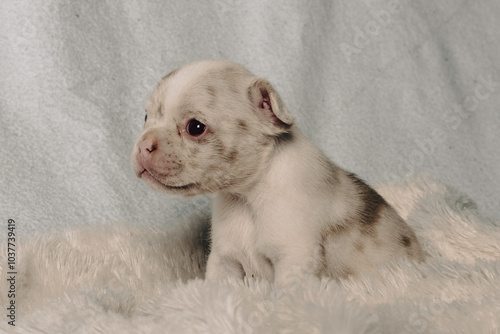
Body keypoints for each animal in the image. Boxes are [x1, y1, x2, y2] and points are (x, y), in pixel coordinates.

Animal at [131, 60, 424, 284]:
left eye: (195, 127)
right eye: (145, 117)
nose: (144, 144)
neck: (247, 195)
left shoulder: (295, 258)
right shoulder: (224, 260)